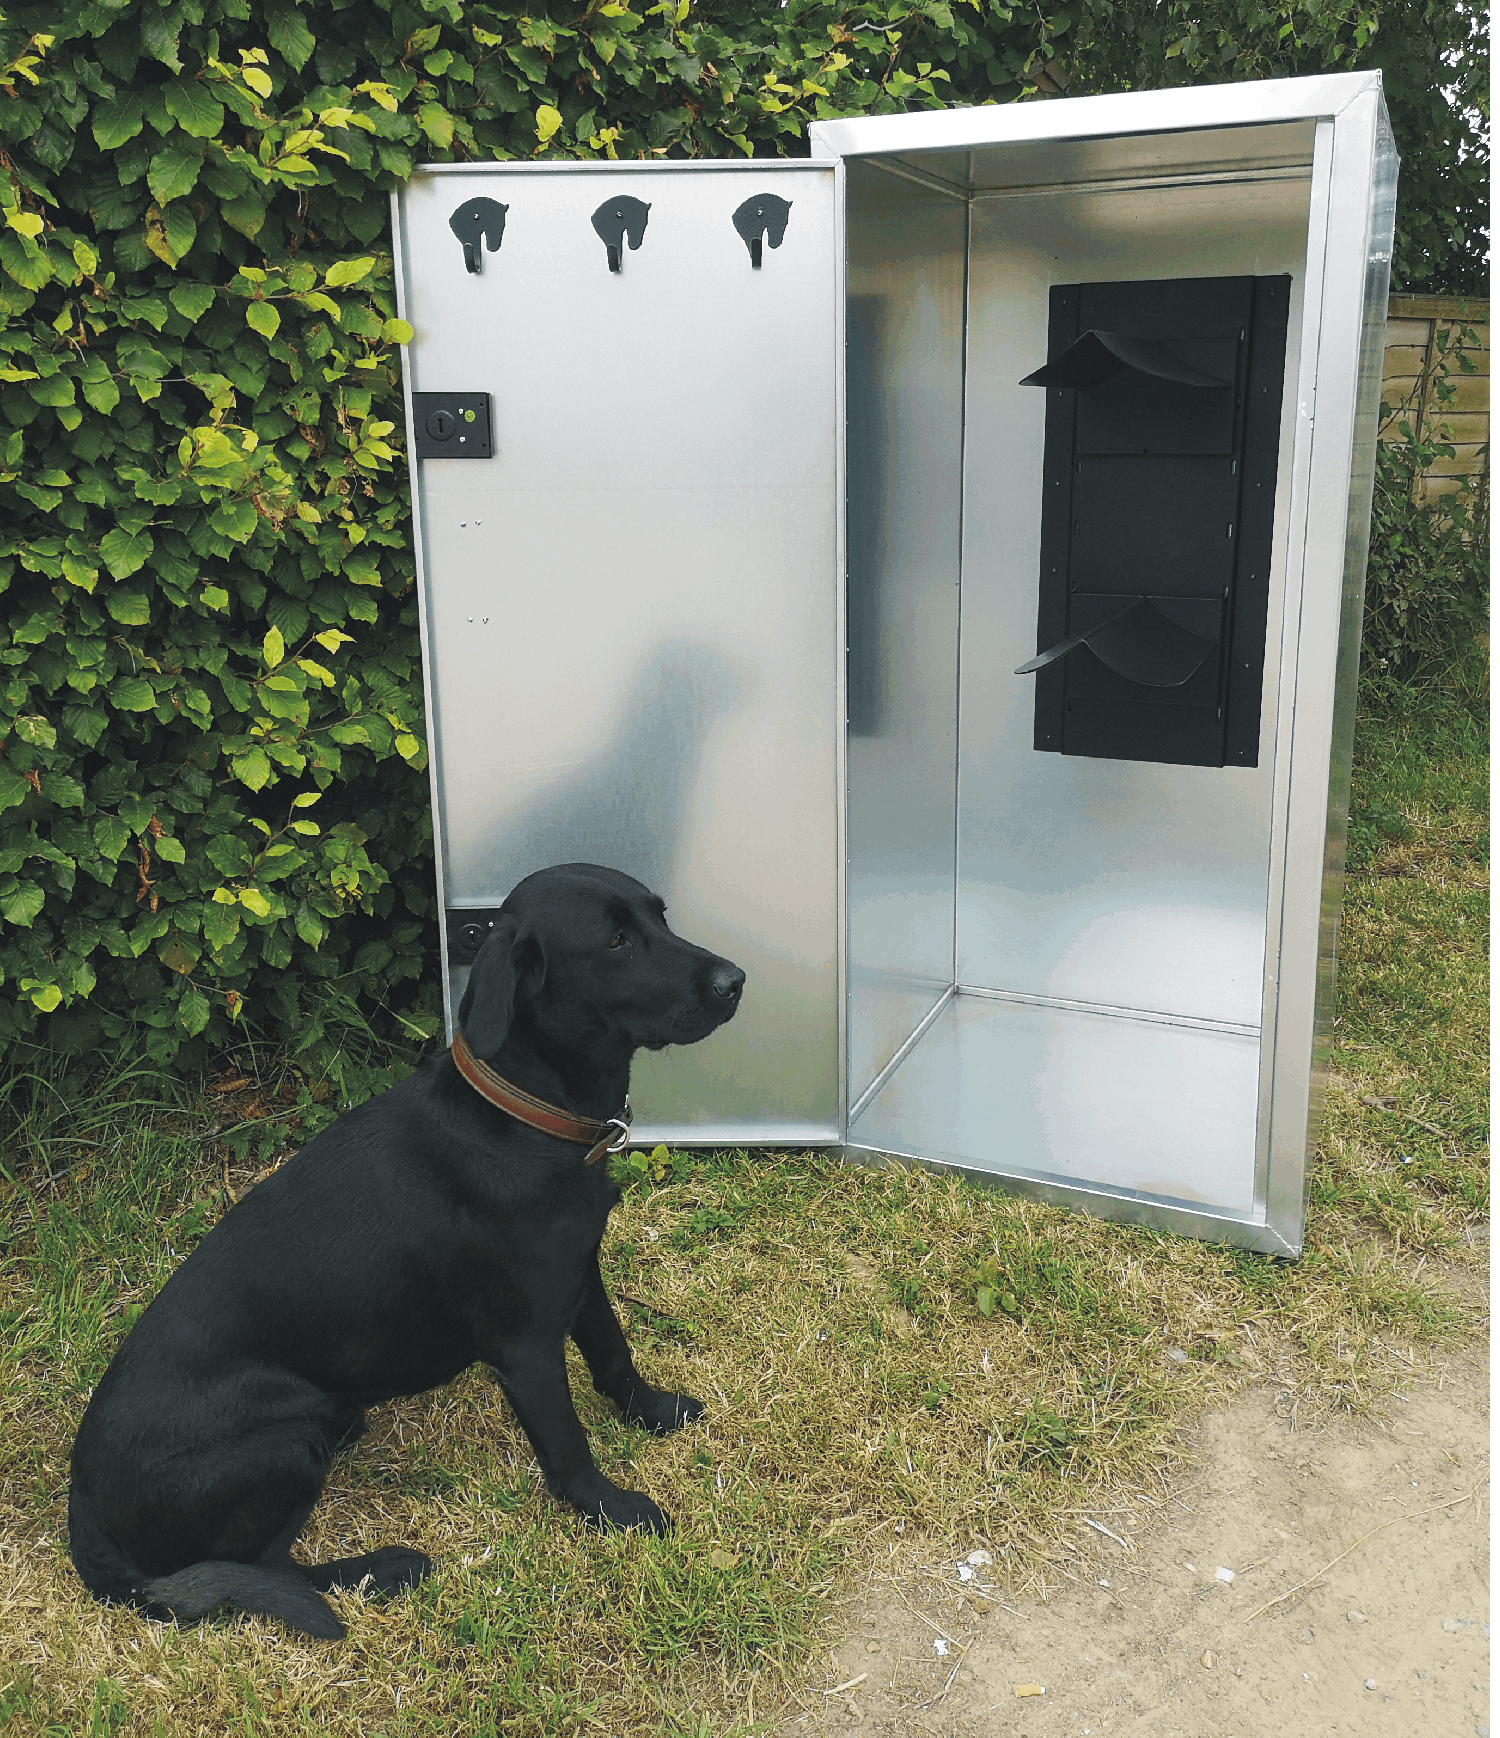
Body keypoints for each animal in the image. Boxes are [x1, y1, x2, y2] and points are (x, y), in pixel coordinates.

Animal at [69, 869, 743, 1640]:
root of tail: (83, 1519)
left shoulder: (579, 1274)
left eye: (659, 916)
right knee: (264, 1568)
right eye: (615, 941)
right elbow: (568, 1447)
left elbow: (613, 1354)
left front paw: (654, 1413)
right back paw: (383, 1570)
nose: (736, 981)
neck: (523, 1118)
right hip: (284, 1440)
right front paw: (614, 1510)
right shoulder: (526, 1348)